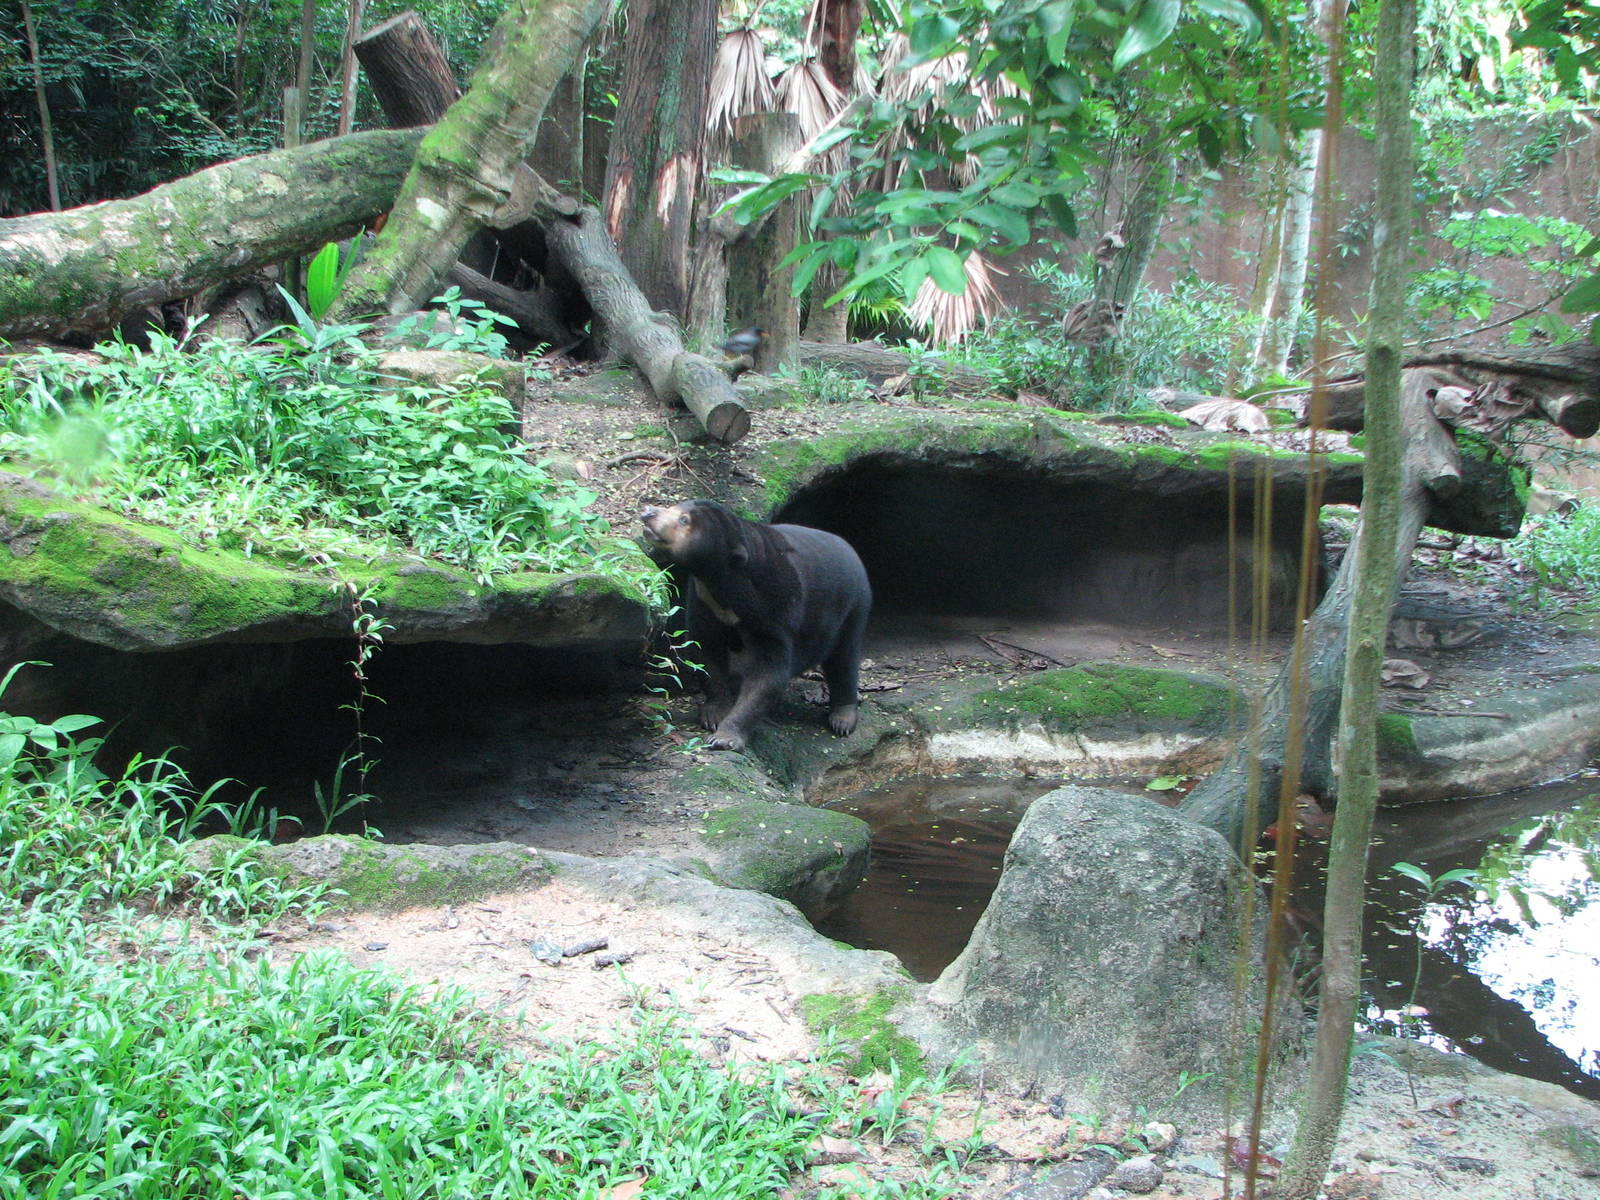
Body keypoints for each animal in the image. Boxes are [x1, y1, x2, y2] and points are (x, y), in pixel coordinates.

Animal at [640, 499, 871, 752]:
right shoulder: (703, 602)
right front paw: (714, 714)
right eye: (672, 507)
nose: (648, 512)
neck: (722, 583)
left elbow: (767, 675)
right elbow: (706, 651)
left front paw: (725, 738)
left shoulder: (776, 607)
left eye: (684, 520)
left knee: (843, 658)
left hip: (852, 607)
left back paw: (843, 719)